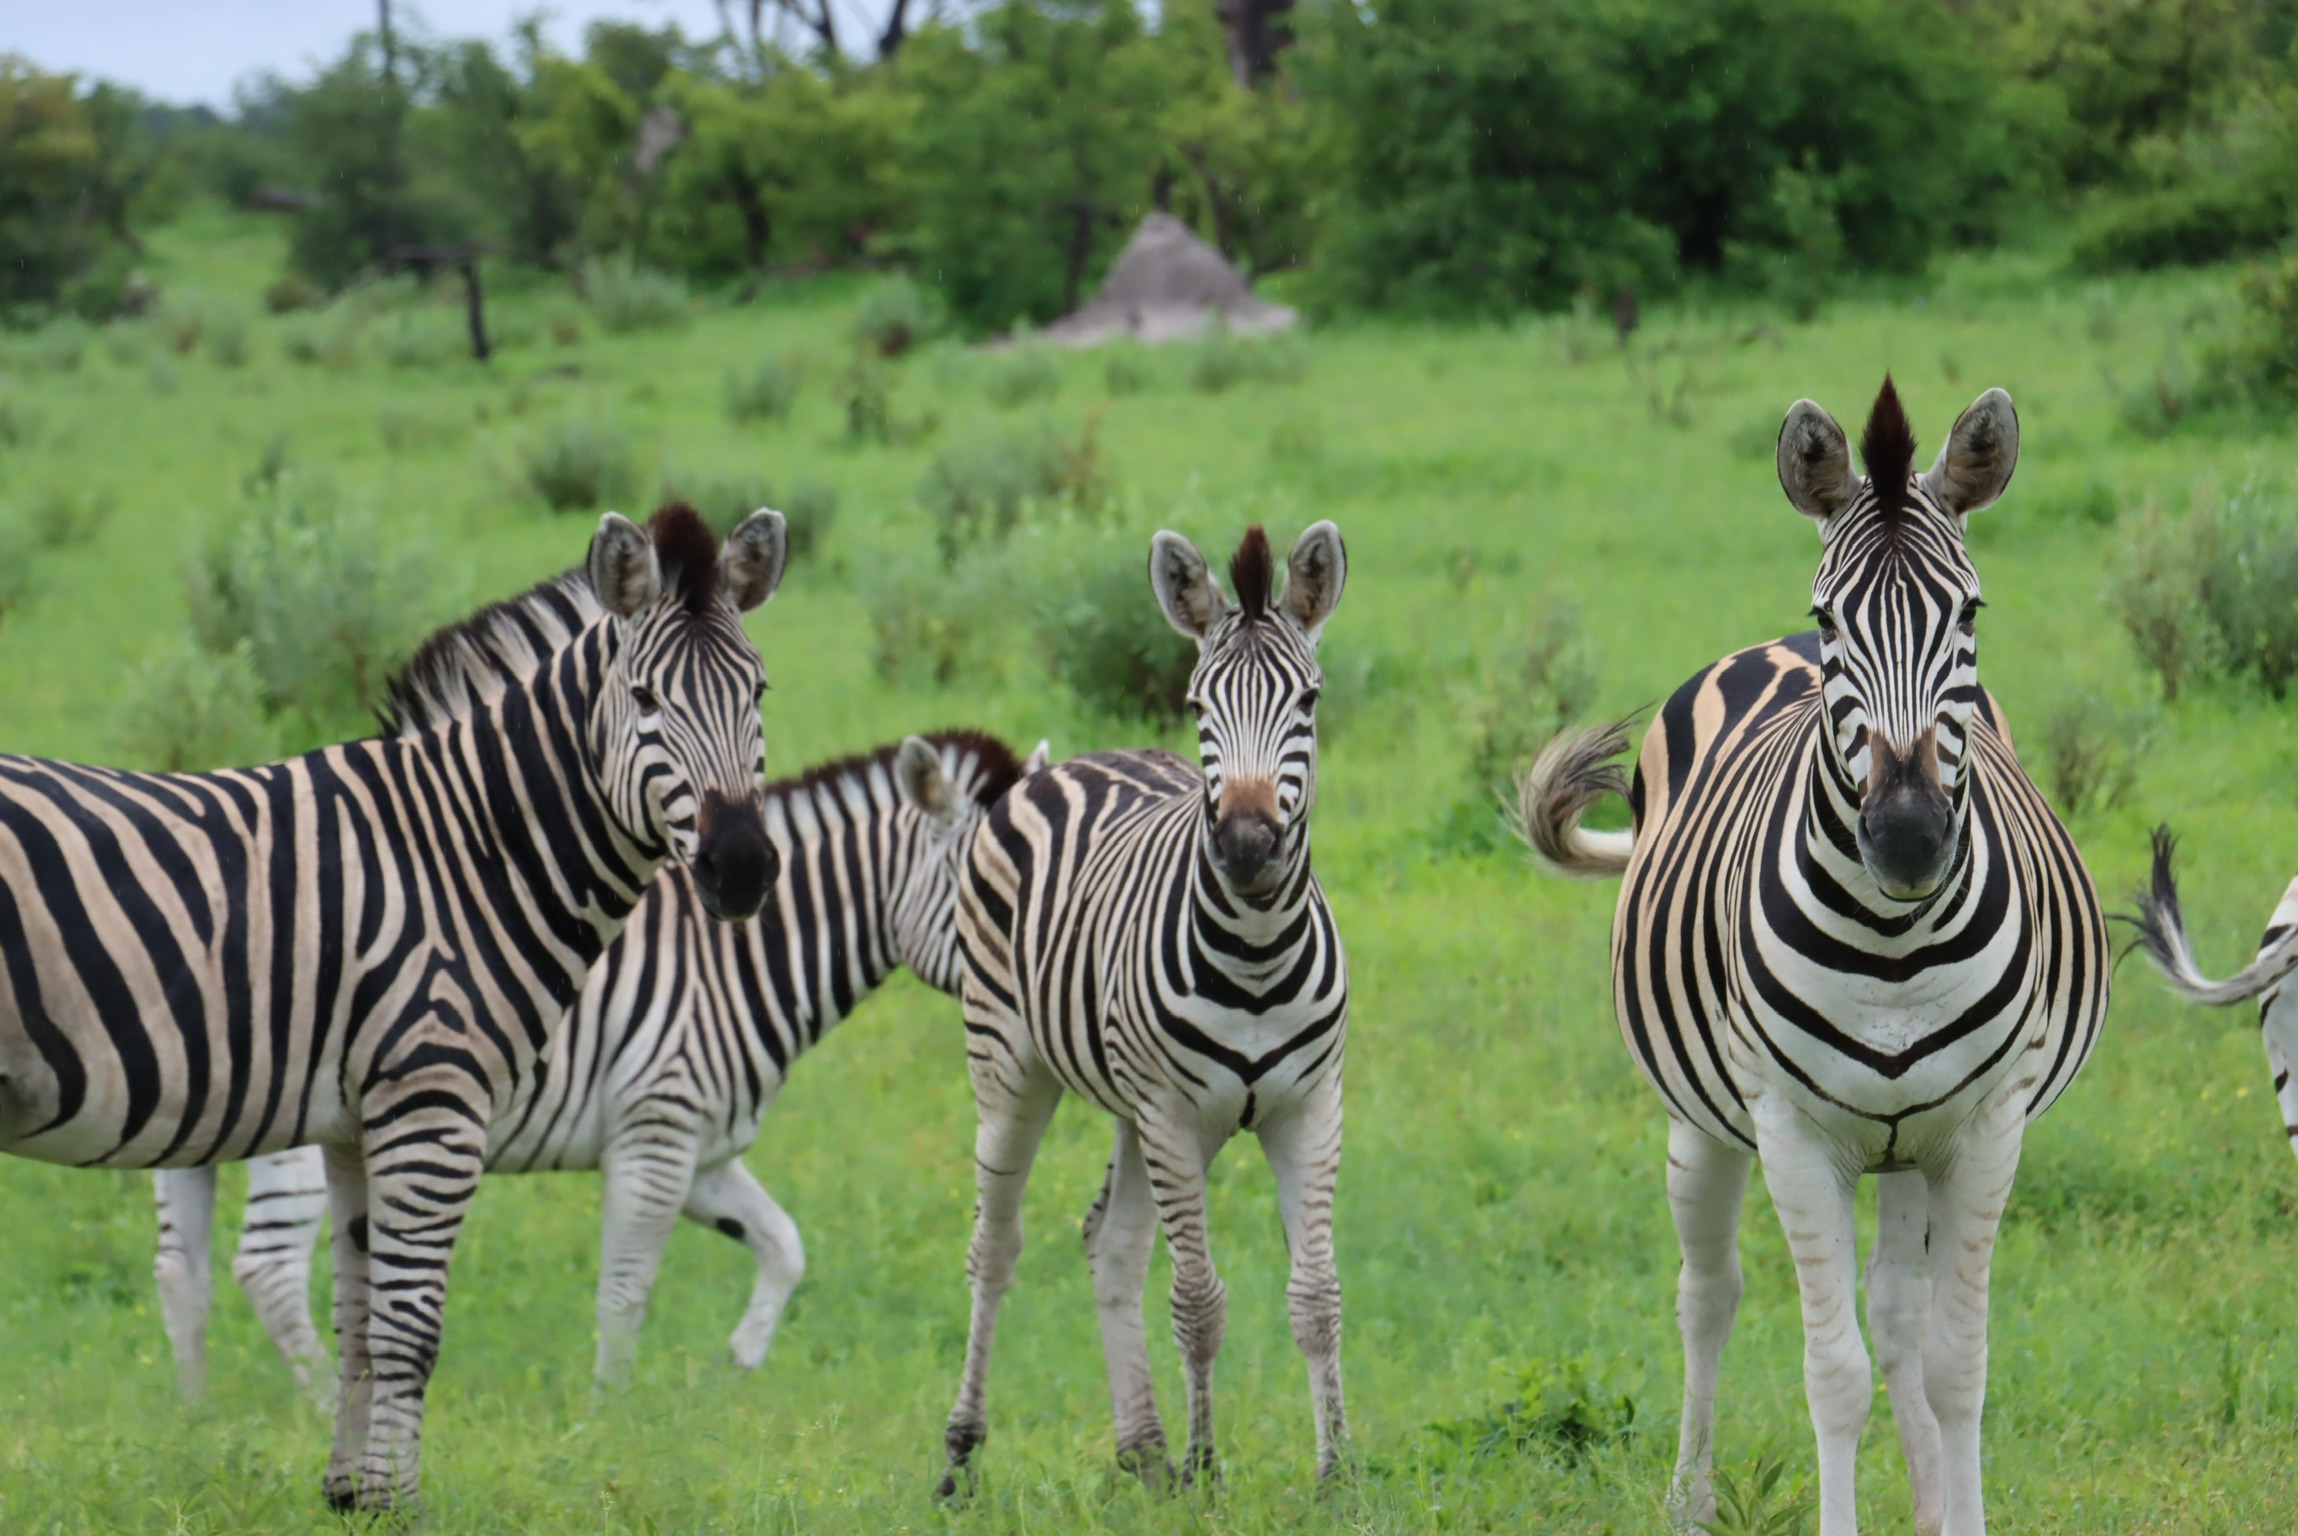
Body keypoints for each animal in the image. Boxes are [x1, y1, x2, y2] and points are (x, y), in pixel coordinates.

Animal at [0, 503, 786, 1510]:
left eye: (758, 691)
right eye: (646, 698)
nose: (744, 868)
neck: (464, 850)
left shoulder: (352, 1122)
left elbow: (361, 1321)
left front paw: (349, 1497)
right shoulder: (434, 1101)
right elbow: (413, 1327)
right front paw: (397, 1505)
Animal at [149, 728, 1050, 1399]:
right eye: (992, 894)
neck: (734, 963)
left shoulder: (700, 1152)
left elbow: (784, 1245)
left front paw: (739, 1359)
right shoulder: (656, 1133)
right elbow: (626, 1291)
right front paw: (609, 1415)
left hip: (194, 1122)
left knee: (180, 1270)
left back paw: (196, 1418)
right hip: (297, 1135)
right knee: (264, 1269)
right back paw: (318, 1401)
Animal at [939, 523, 1350, 1495]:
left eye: (1309, 700)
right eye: (1198, 705)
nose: (1246, 845)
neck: (1258, 953)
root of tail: (1070, 763)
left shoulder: (1310, 1108)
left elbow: (1316, 1295)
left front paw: (1338, 1473)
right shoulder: (1172, 1113)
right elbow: (1198, 1300)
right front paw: (1207, 1469)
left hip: (1130, 1105)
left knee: (1110, 1242)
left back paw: (1144, 1452)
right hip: (1010, 1070)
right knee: (995, 1247)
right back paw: (963, 1452)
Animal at [1518, 381, 2108, 1536]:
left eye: (1971, 614)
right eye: (1836, 617)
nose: (1910, 837)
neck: (1895, 945)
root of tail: (1768, 643)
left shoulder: (1986, 1127)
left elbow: (1956, 1364)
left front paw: (1956, 1510)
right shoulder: (1793, 1132)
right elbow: (1831, 1374)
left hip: (1909, 1143)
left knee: (1899, 1314)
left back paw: (1926, 1496)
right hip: (1704, 1120)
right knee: (1708, 1297)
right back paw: (1692, 1499)